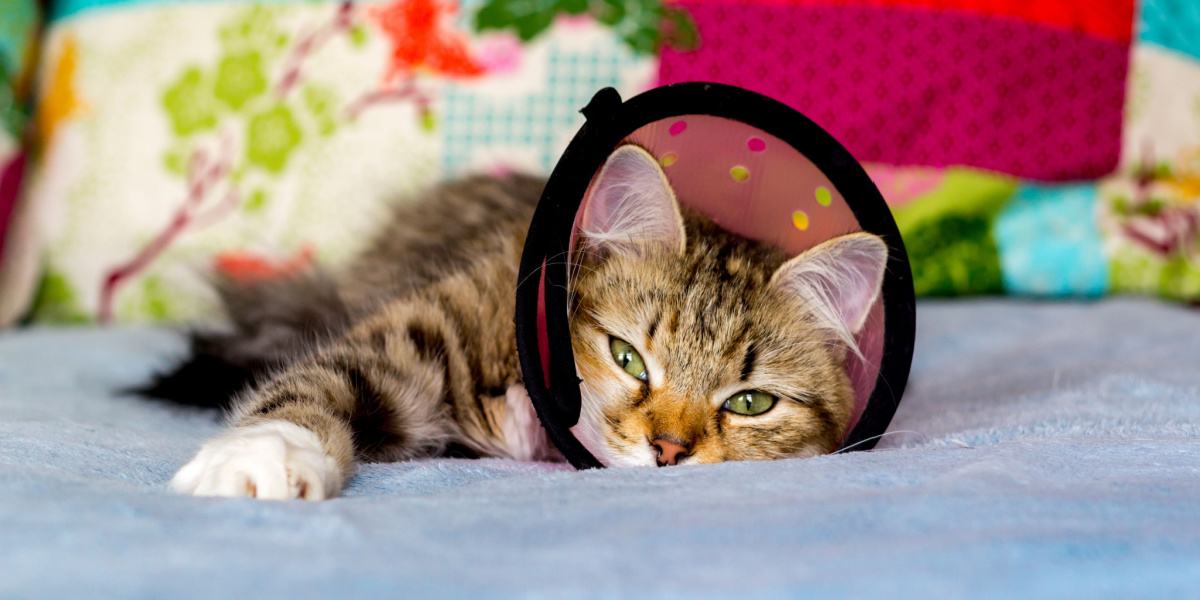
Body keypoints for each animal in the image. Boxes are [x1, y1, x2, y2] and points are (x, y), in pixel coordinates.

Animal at [154, 146, 888, 501]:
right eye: (627, 357)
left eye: (750, 403)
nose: (669, 452)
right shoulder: (420, 333)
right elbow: (316, 385)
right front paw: (257, 462)